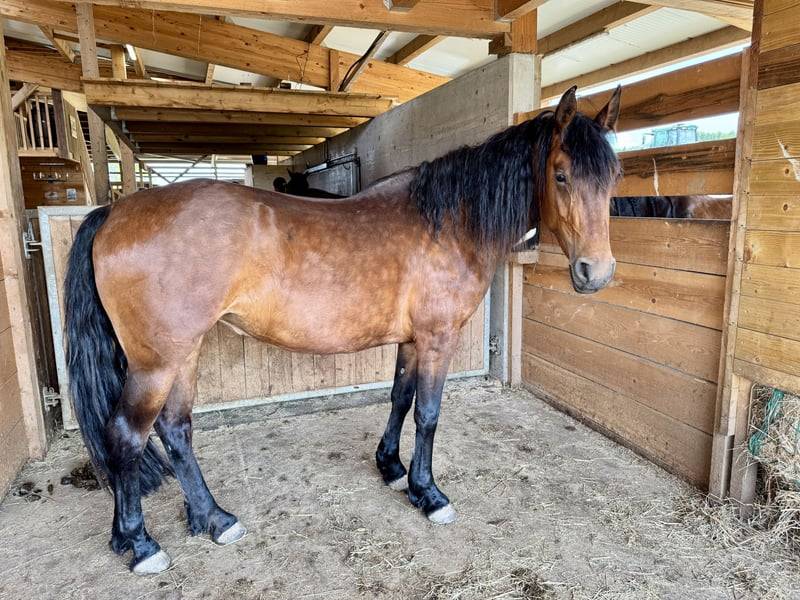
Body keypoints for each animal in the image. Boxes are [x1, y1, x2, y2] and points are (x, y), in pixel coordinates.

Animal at [63, 86, 622, 575]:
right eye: (561, 175)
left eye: (614, 177)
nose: (596, 273)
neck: (448, 222)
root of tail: (113, 212)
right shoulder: (437, 340)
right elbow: (428, 415)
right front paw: (429, 493)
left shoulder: (411, 341)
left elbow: (400, 399)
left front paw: (392, 470)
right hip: (157, 363)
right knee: (127, 437)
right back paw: (140, 543)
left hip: (184, 354)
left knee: (176, 430)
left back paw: (212, 518)